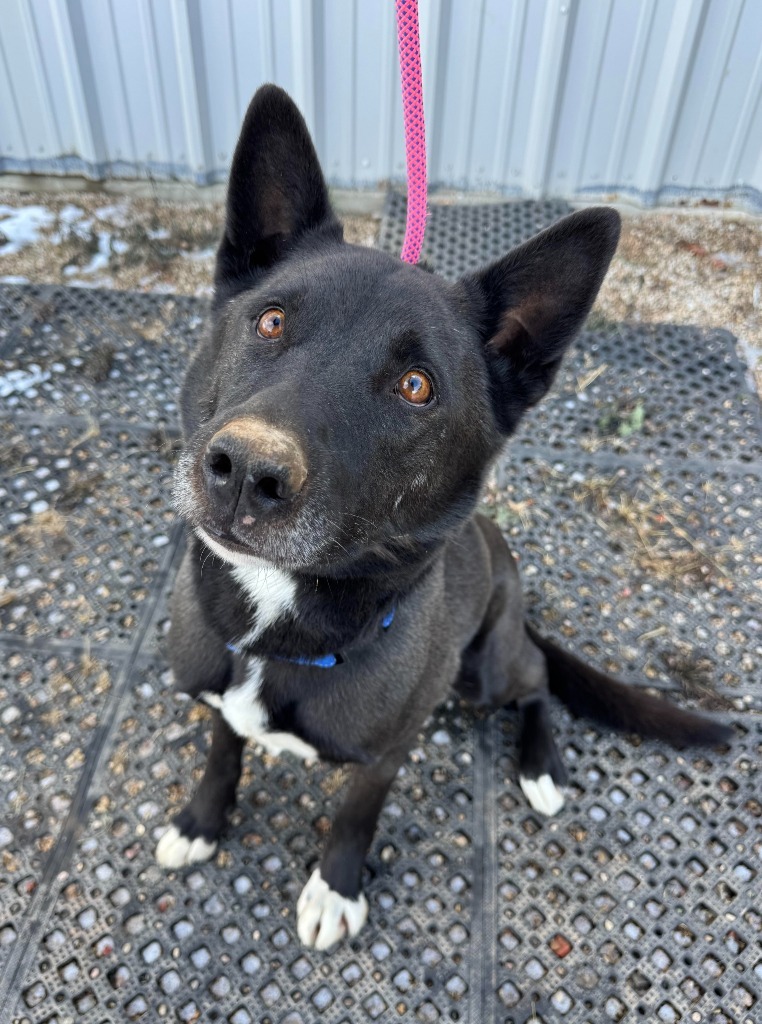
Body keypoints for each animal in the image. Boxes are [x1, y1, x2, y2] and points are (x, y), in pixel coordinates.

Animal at [156, 86, 733, 950]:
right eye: (270, 322)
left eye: (417, 386)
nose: (246, 473)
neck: (275, 622)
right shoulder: (219, 698)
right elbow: (223, 749)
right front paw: (201, 820)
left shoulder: (388, 750)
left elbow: (356, 812)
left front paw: (336, 887)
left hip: (483, 670)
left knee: (535, 681)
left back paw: (541, 767)